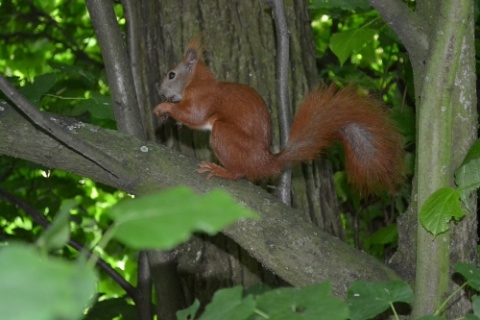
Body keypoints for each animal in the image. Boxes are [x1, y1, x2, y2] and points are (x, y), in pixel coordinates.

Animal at [155, 37, 404, 192]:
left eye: (171, 74)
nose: (160, 92)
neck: (195, 82)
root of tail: (265, 162)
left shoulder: (204, 97)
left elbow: (195, 116)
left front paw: (163, 109)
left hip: (224, 134)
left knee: (241, 173)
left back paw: (221, 171)